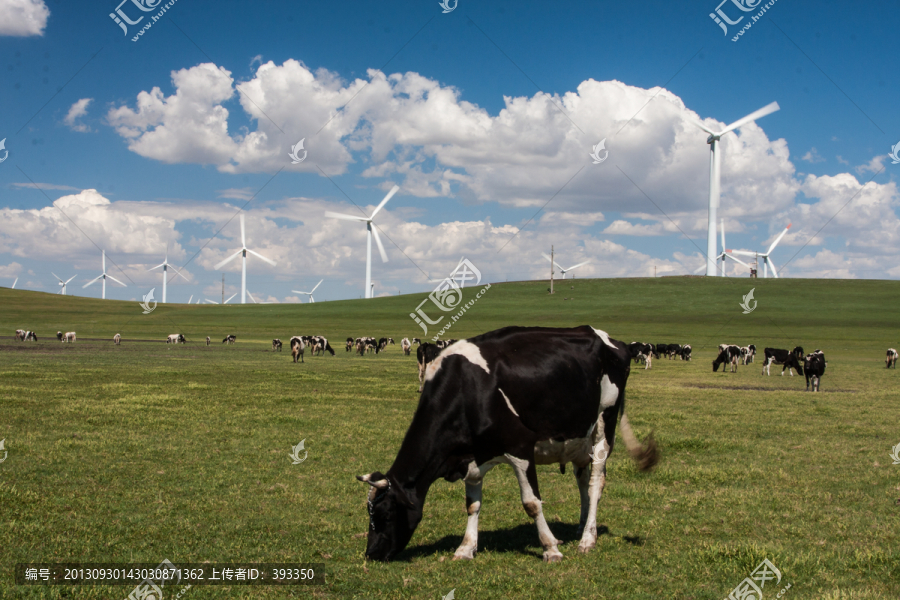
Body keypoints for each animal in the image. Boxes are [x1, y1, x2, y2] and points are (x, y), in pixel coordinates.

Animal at [356, 326, 656, 560]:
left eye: (384, 514)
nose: (371, 554)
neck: (467, 390)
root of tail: (610, 340)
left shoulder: (521, 448)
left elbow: (532, 502)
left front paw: (550, 548)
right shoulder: (472, 456)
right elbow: (472, 504)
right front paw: (466, 548)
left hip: (604, 426)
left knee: (595, 483)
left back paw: (588, 539)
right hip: (578, 436)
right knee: (582, 479)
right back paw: (581, 527)